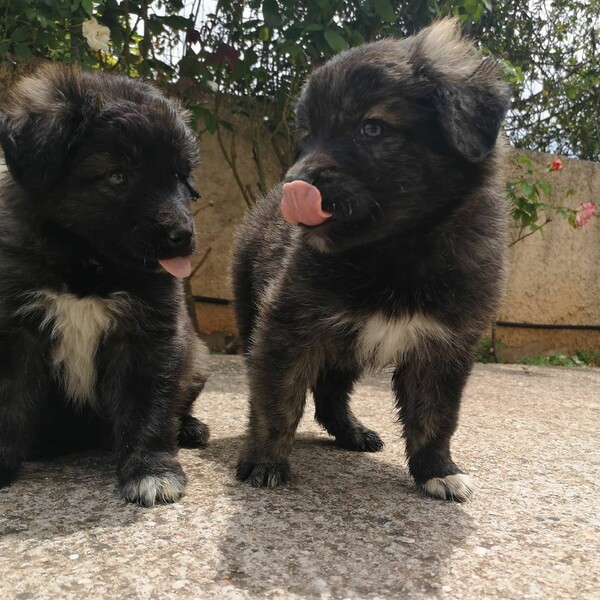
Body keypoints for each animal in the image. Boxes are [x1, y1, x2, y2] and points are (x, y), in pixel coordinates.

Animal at [0, 65, 210, 506]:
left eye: (180, 176)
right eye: (117, 176)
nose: (182, 236)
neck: (86, 266)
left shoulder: (148, 338)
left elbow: (148, 407)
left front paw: (151, 470)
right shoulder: (15, 332)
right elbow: (7, 401)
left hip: (197, 359)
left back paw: (190, 427)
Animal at [233, 19, 510, 502]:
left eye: (372, 128)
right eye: (306, 134)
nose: (293, 185)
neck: (395, 250)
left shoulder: (444, 346)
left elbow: (436, 415)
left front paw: (438, 470)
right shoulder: (286, 328)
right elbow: (276, 399)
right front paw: (265, 460)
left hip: (344, 349)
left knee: (330, 394)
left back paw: (352, 432)